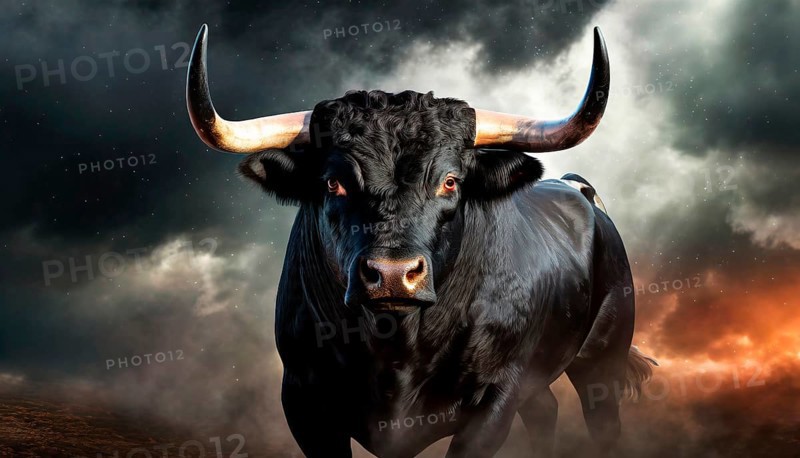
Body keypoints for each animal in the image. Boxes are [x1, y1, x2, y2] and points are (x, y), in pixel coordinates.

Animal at [186, 24, 656, 458]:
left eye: (450, 181)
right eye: (333, 182)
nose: (393, 274)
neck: (397, 349)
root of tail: (577, 189)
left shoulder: (495, 399)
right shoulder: (303, 400)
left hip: (603, 360)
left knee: (602, 420)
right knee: (545, 411)